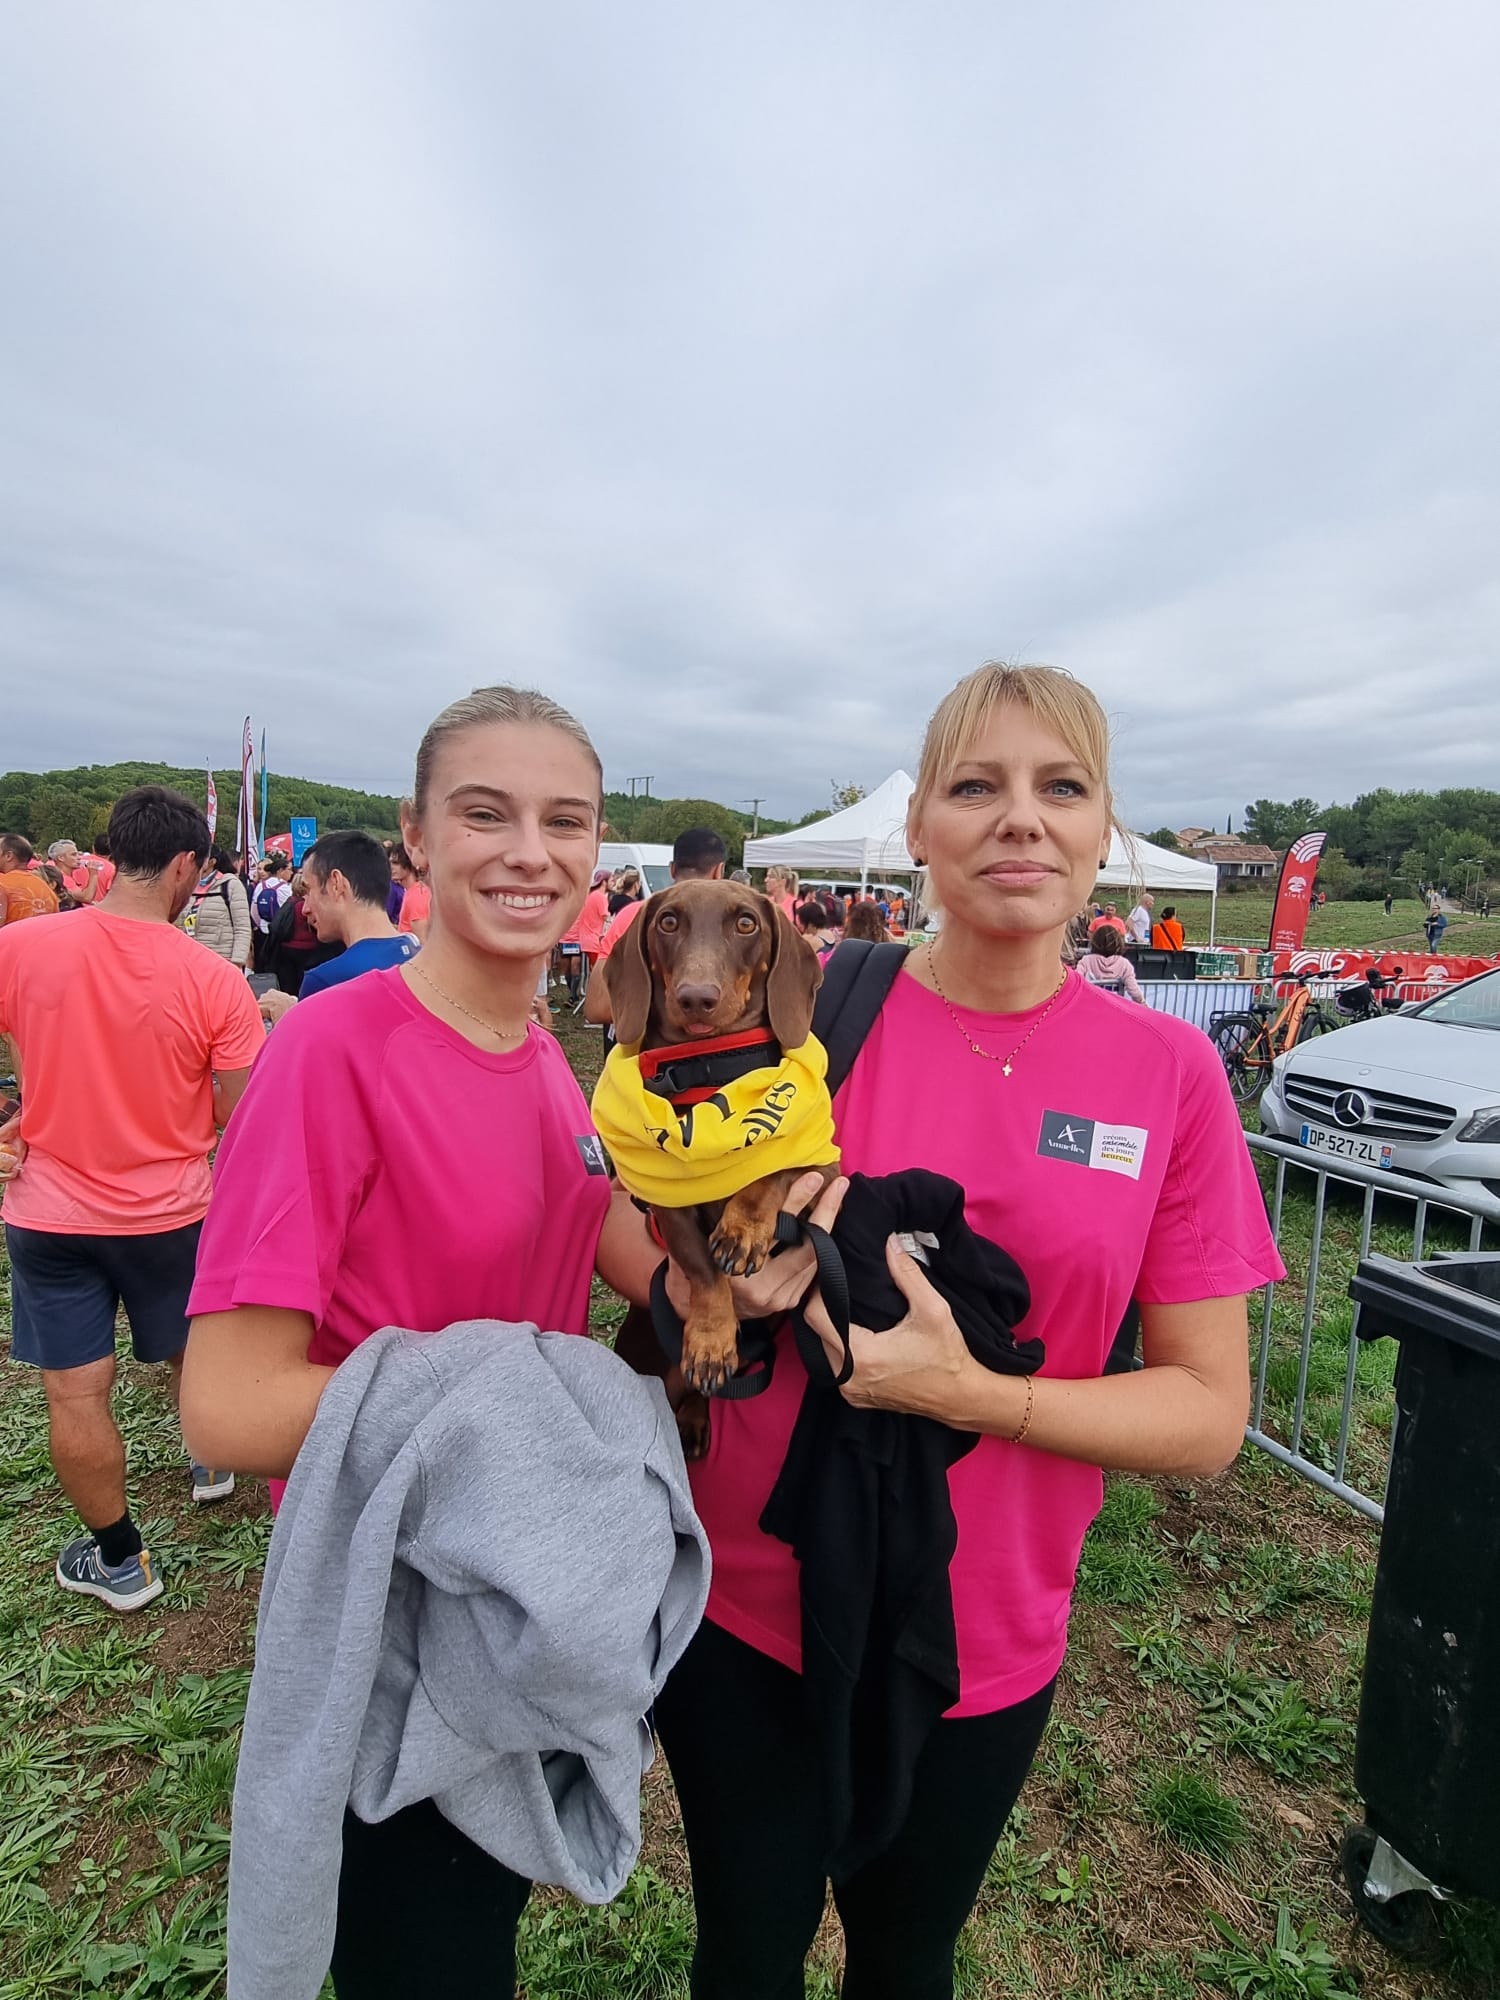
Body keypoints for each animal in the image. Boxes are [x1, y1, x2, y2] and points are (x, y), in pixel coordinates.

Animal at [604, 884, 840, 1448]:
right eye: (667, 921)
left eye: (747, 923)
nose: (696, 997)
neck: (711, 1070)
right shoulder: (667, 1207)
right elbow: (703, 1271)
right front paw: (711, 1341)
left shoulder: (825, 1172)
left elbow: (772, 1171)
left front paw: (743, 1229)